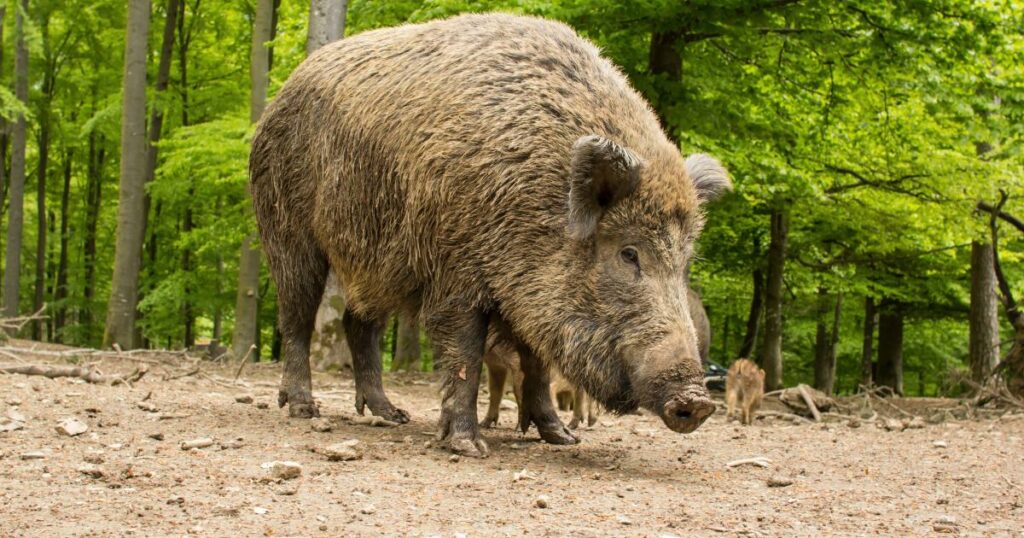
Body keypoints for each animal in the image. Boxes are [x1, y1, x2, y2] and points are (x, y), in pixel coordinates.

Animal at [249, 13, 731, 457]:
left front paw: (563, 438)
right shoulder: (455, 274)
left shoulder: (526, 297)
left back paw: (391, 415)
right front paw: (469, 446)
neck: (535, 202)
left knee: (358, 323)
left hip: (377, 260)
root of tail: (280, 96)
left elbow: (537, 364)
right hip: (287, 230)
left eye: (684, 262)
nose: (698, 401)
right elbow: (466, 353)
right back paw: (303, 408)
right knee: (297, 317)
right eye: (629, 253)